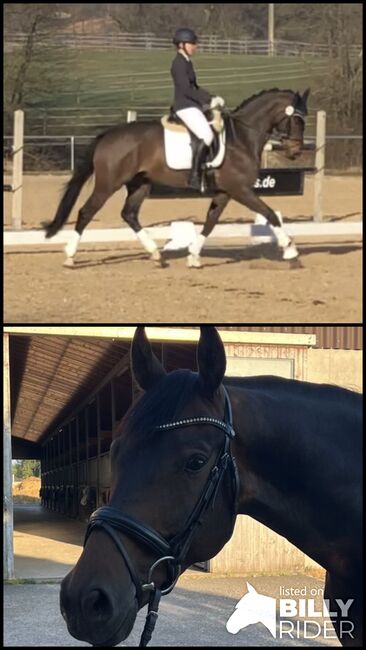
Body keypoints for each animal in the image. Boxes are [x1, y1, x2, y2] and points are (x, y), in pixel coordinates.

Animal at [45, 88, 308, 266]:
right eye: (296, 119)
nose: (296, 152)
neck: (242, 137)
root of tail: (107, 135)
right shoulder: (240, 189)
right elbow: (270, 214)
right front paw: (290, 250)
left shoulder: (225, 192)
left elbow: (211, 222)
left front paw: (193, 256)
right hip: (108, 183)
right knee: (86, 212)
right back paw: (70, 256)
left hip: (140, 184)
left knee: (129, 214)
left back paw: (155, 253)